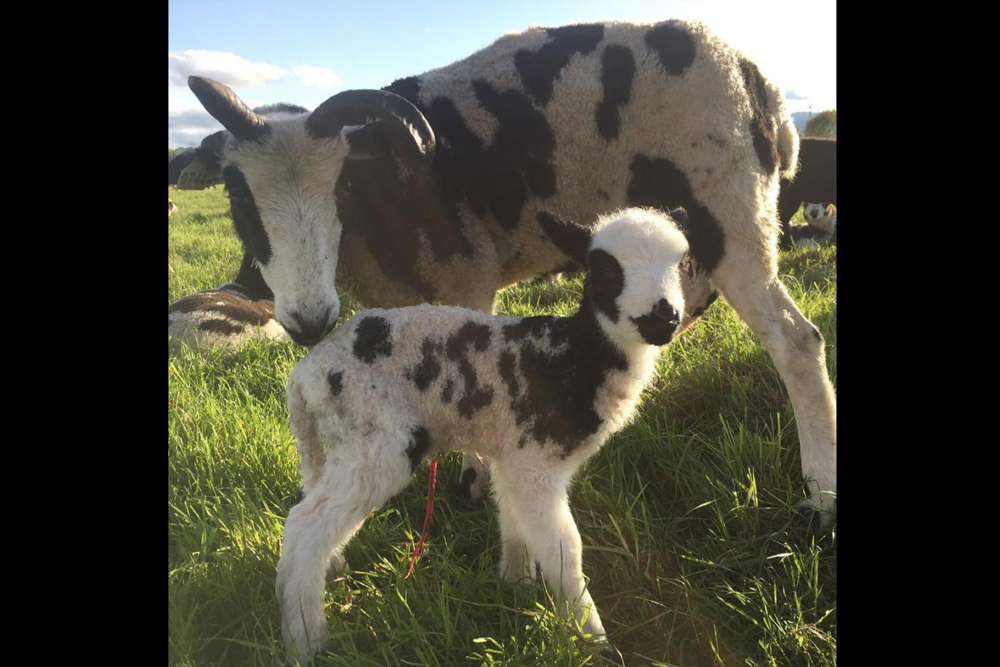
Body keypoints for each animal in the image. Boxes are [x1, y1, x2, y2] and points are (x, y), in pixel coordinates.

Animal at [182, 20, 836, 520]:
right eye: (237, 197)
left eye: (340, 188)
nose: (310, 321)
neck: (385, 197)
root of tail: (763, 88)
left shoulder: (467, 277)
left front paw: (473, 482)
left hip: (730, 210)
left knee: (797, 342)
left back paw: (821, 490)